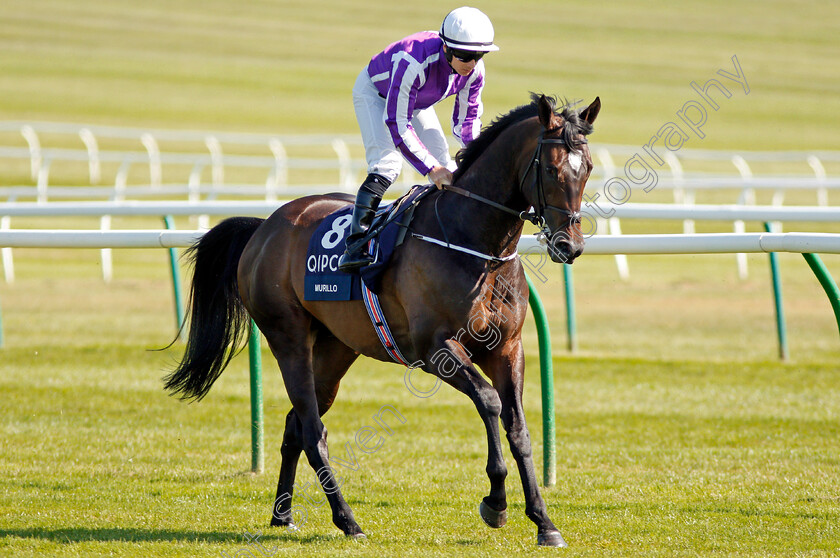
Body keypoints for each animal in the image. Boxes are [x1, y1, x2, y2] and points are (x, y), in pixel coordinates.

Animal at [166, 94, 596, 548]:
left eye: (586, 168)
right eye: (550, 169)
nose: (569, 245)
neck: (475, 243)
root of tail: (263, 228)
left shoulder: (508, 348)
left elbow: (519, 428)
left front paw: (544, 522)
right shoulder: (435, 350)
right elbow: (489, 401)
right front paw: (495, 503)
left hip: (336, 349)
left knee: (295, 424)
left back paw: (283, 514)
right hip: (288, 338)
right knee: (313, 430)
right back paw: (347, 520)